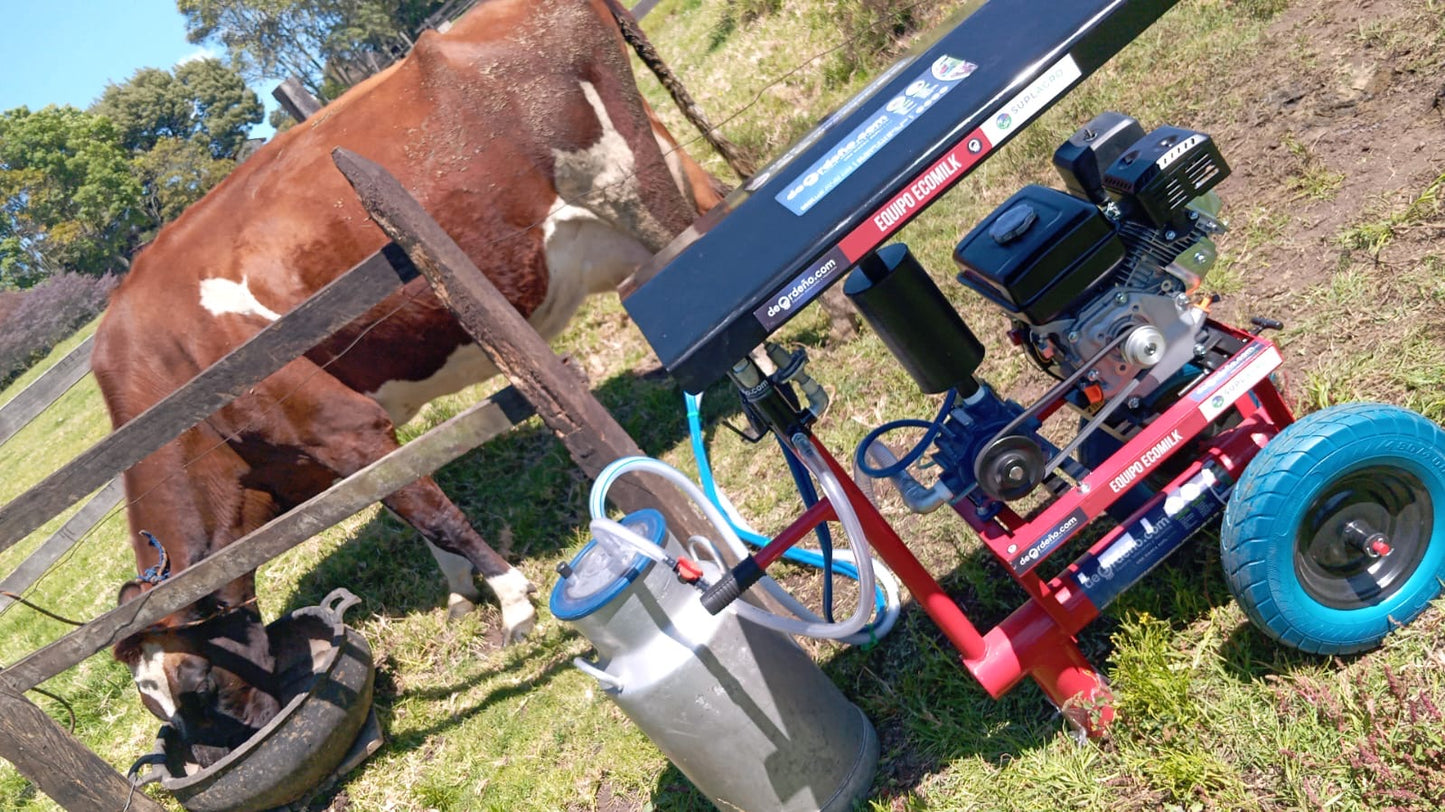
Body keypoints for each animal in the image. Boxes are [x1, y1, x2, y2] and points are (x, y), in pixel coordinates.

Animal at [91, 0, 722, 745]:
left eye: (193, 681)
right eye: (155, 704)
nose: (253, 739)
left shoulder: (343, 427)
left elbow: (432, 511)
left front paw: (512, 603)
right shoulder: (330, 452)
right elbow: (405, 504)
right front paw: (458, 594)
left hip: (627, 186)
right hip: (661, 169)